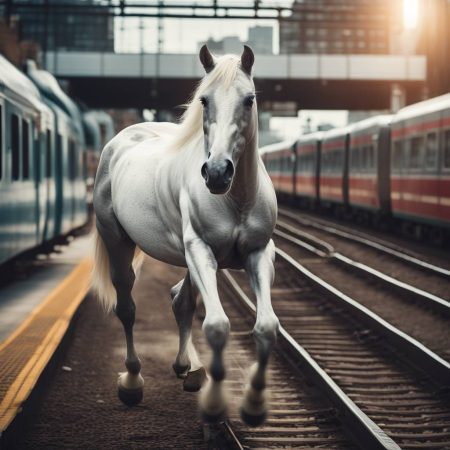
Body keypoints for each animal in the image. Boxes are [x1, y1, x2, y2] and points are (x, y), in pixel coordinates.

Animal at [92, 45, 278, 426]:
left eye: (249, 99)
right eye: (204, 100)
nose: (218, 172)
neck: (236, 198)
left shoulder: (258, 252)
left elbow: (266, 326)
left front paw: (254, 406)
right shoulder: (200, 249)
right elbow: (217, 325)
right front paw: (216, 405)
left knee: (181, 299)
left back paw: (188, 369)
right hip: (119, 241)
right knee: (127, 307)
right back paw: (132, 381)